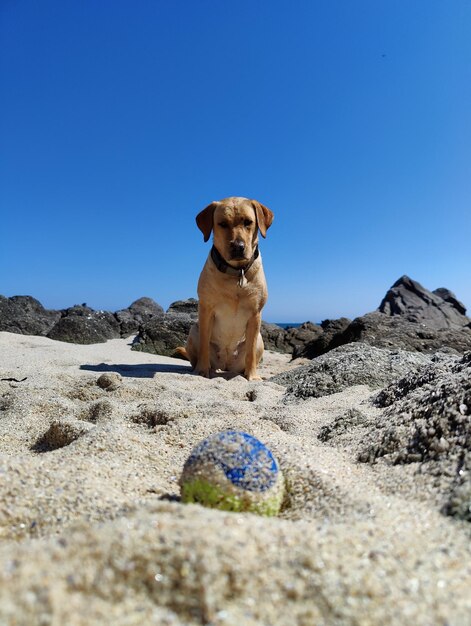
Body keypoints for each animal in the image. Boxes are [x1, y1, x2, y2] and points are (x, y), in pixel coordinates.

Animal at [181, 197, 276, 378]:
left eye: (248, 222)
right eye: (222, 224)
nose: (238, 246)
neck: (236, 272)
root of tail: (225, 364)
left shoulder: (255, 314)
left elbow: (251, 352)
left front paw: (252, 376)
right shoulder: (206, 309)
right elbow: (204, 345)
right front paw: (202, 370)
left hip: (260, 340)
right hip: (193, 331)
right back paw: (202, 368)